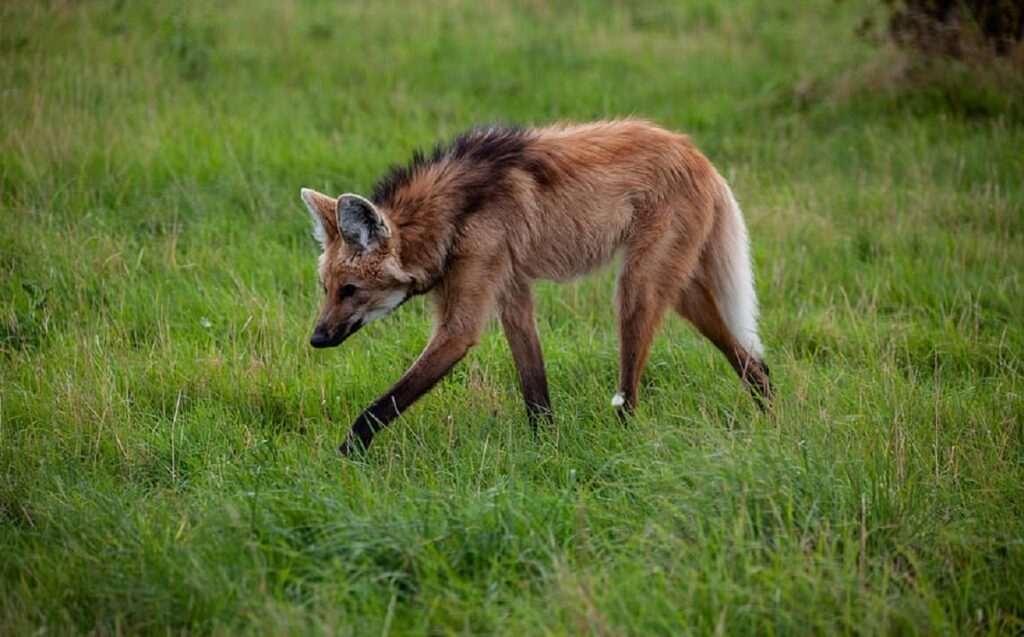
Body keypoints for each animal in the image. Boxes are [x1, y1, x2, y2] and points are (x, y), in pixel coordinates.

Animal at [299, 119, 770, 456]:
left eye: (350, 290)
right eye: (326, 288)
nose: (316, 339)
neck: (452, 217)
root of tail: (695, 153)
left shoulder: (460, 326)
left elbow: (381, 406)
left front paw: (344, 458)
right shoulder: (512, 291)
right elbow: (535, 390)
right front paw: (545, 449)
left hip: (637, 289)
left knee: (631, 393)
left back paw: (624, 444)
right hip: (682, 290)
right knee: (754, 363)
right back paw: (771, 420)